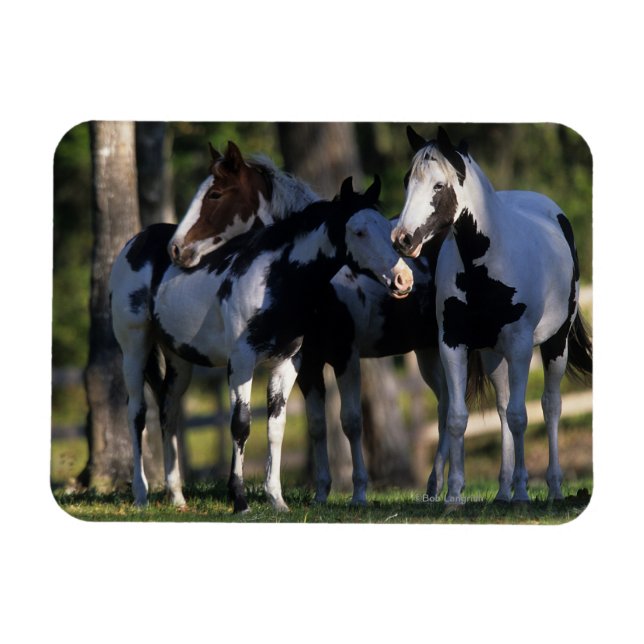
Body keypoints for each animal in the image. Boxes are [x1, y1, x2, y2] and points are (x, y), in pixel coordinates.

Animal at [110, 173, 413, 512]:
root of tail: (137, 242)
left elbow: (276, 428)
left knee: (168, 410)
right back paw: (141, 495)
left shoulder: (287, 364)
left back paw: (176, 496)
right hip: (134, 347)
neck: (275, 279)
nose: (404, 279)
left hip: (179, 359)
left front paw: (276, 499)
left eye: (387, 229)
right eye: (359, 231)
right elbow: (241, 424)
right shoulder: (242, 361)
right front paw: (240, 500)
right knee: (137, 414)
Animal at [392, 126, 592, 504]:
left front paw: (524, 494)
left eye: (438, 185)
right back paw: (502, 491)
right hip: (491, 354)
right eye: (408, 180)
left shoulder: (520, 346)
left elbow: (520, 416)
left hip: (554, 345)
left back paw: (553, 488)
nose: (402, 239)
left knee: (550, 406)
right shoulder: (453, 343)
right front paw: (454, 496)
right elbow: (458, 417)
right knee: (501, 408)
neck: (484, 264)